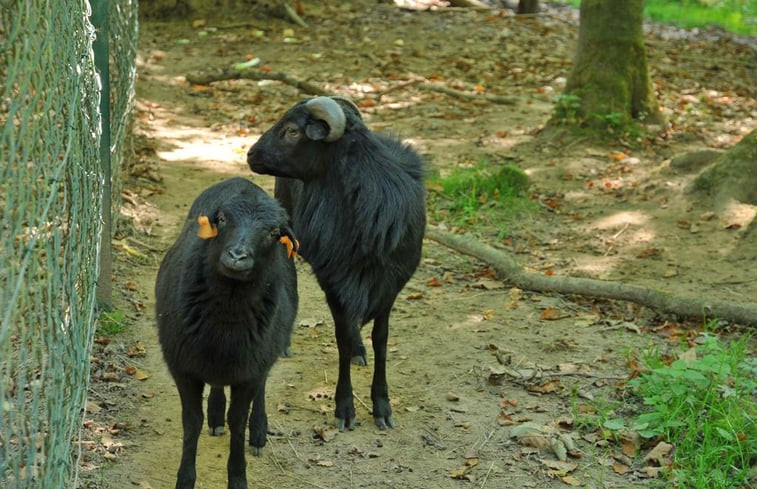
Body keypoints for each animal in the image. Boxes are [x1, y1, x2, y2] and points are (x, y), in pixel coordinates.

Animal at [156, 176, 298, 488]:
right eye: (221, 219)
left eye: (273, 232)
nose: (237, 256)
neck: (227, 316)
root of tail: (240, 180)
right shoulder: (183, 367)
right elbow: (191, 422)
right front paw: (185, 478)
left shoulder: (249, 369)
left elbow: (238, 422)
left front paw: (237, 476)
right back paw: (216, 414)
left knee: (261, 387)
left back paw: (258, 431)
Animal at [248, 96, 426, 430]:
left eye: (292, 130)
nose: (251, 154)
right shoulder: (333, 280)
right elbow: (340, 339)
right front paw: (345, 408)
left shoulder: (389, 286)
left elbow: (381, 340)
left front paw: (382, 406)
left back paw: (359, 350)